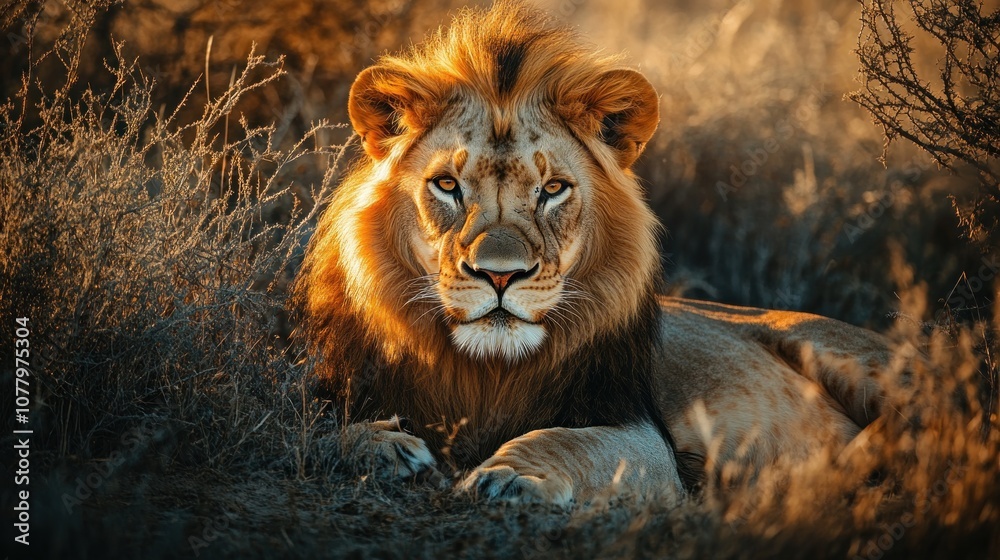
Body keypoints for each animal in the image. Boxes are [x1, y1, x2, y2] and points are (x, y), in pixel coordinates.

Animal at [293, 1, 900, 505]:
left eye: (553, 189)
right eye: (446, 185)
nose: (499, 276)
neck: (488, 372)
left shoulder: (642, 432)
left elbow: (569, 442)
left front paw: (511, 474)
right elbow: (311, 424)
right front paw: (384, 447)